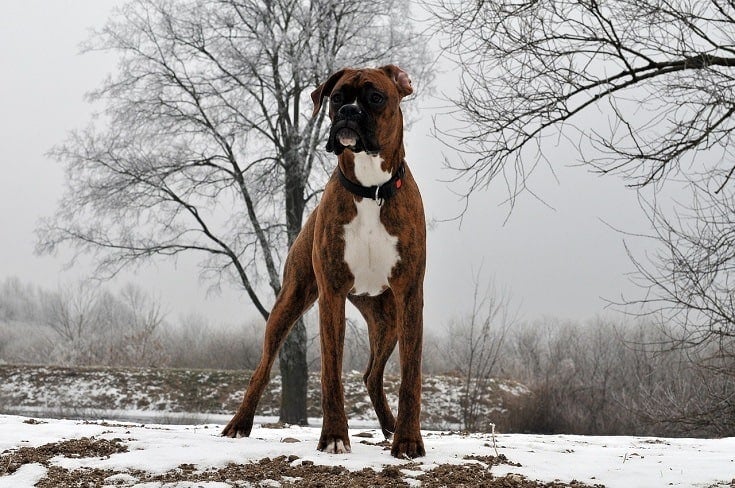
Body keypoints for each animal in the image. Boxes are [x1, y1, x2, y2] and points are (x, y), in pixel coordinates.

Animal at [221, 63, 426, 458]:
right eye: (336, 98)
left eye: (375, 97)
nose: (348, 112)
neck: (371, 189)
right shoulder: (331, 294)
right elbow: (331, 370)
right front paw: (333, 436)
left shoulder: (410, 295)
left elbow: (411, 376)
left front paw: (408, 441)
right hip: (289, 302)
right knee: (262, 369)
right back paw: (239, 424)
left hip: (388, 319)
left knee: (372, 375)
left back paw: (390, 427)